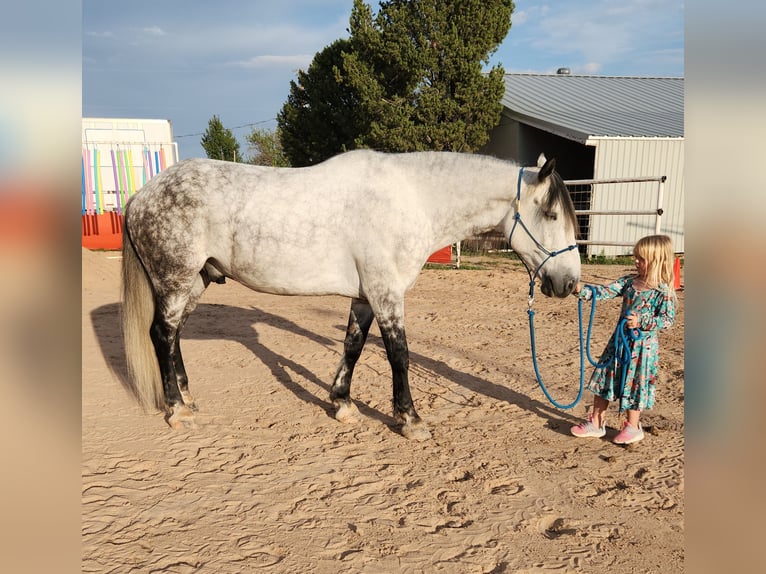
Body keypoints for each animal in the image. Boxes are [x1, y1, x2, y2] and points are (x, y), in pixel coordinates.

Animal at [121, 149, 580, 439]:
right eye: (550, 213)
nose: (569, 284)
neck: (412, 199)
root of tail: (142, 196)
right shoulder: (386, 292)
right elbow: (399, 354)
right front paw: (410, 419)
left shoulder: (365, 296)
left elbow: (353, 347)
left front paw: (342, 404)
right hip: (176, 281)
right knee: (161, 335)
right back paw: (177, 410)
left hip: (195, 281)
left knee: (174, 336)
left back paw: (187, 398)